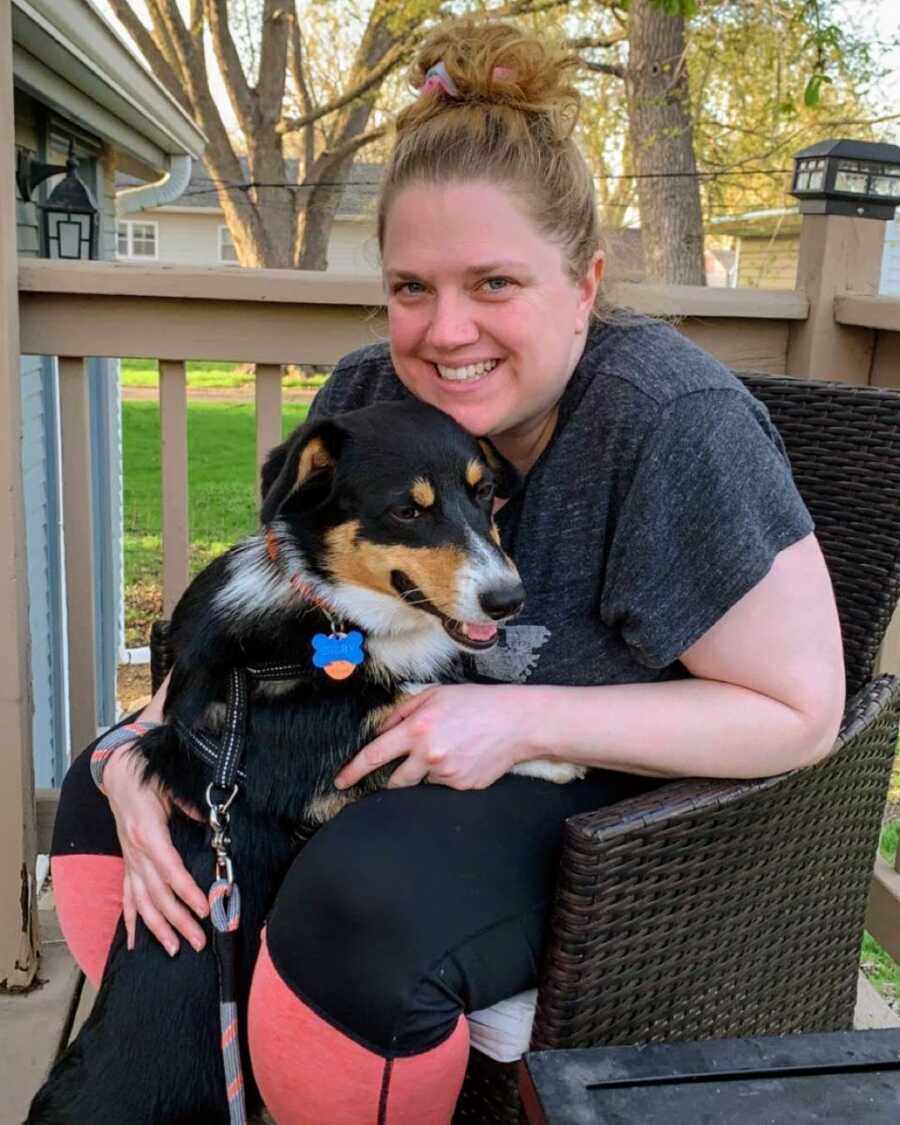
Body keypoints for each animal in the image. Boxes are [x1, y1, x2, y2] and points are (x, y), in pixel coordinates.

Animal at [29, 400, 585, 1120]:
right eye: (407, 511)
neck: (330, 610)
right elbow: (416, 698)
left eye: (483, 491)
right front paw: (553, 754)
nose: (507, 600)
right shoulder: (303, 759)